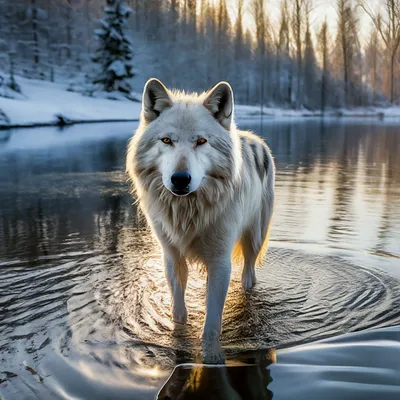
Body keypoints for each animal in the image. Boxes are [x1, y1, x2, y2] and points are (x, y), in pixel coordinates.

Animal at [126, 77, 276, 362]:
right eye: (167, 140)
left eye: (201, 141)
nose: (180, 179)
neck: (189, 210)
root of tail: (253, 138)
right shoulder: (171, 257)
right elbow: (178, 310)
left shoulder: (220, 262)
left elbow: (212, 324)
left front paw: (211, 356)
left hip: (254, 237)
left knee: (249, 271)